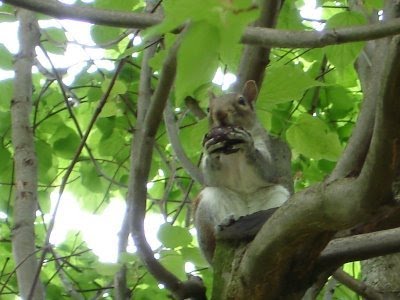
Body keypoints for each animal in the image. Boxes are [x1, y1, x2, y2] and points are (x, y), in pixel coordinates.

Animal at [194, 80, 290, 264]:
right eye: (208, 109)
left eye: (241, 101)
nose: (220, 113)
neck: (235, 153)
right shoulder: (211, 177)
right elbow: (210, 178)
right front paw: (211, 151)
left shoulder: (263, 145)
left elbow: (267, 170)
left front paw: (248, 145)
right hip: (209, 207)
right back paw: (223, 224)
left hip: (277, 197)